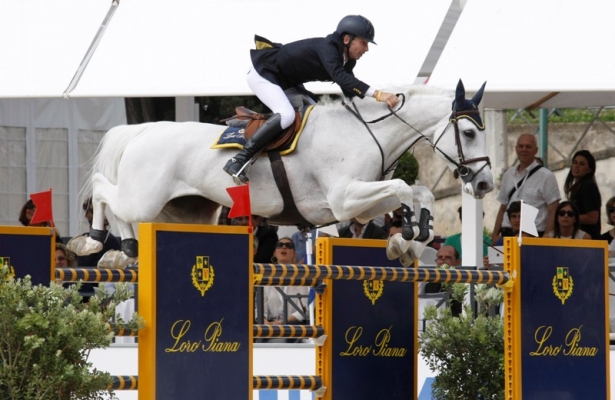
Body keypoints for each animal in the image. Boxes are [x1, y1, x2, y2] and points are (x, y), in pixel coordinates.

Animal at [70, 79, 496, 268]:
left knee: (122, 209)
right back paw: (93, 242)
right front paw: (407, 234)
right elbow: (406, 187)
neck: (363, 132)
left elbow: (420, 191)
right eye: (469, 133)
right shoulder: (345, 199)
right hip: (144, 197)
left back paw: (125, 248)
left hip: (186, 211)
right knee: (105, 191)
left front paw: (409, 240)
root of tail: (143, 130)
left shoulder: (358, 204)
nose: (485, 184)